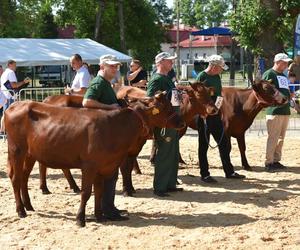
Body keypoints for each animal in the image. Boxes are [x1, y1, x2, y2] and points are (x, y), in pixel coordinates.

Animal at [5, 92, 185, 227]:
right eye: (167, 107)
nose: (181, 122)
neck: (114, 127)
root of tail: (16, 105)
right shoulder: (89, 165)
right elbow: (86, 192)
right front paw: (80, 219)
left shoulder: (104, 166)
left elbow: (99, 191)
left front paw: (100, 216)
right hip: (16, 150)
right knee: (15, 178)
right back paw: (21, 210)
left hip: (30, 154)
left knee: (24, 177)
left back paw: (29, 206)